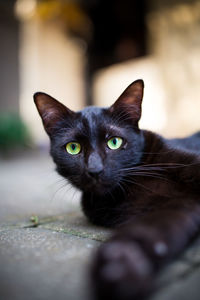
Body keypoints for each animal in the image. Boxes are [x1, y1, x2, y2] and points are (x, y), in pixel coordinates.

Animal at [33, 79, 200, 300]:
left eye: (114, 142)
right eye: (73, 148)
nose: (95, 170)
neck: (133, 185)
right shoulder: (171, 208)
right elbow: (143, 234)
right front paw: (119, 272)